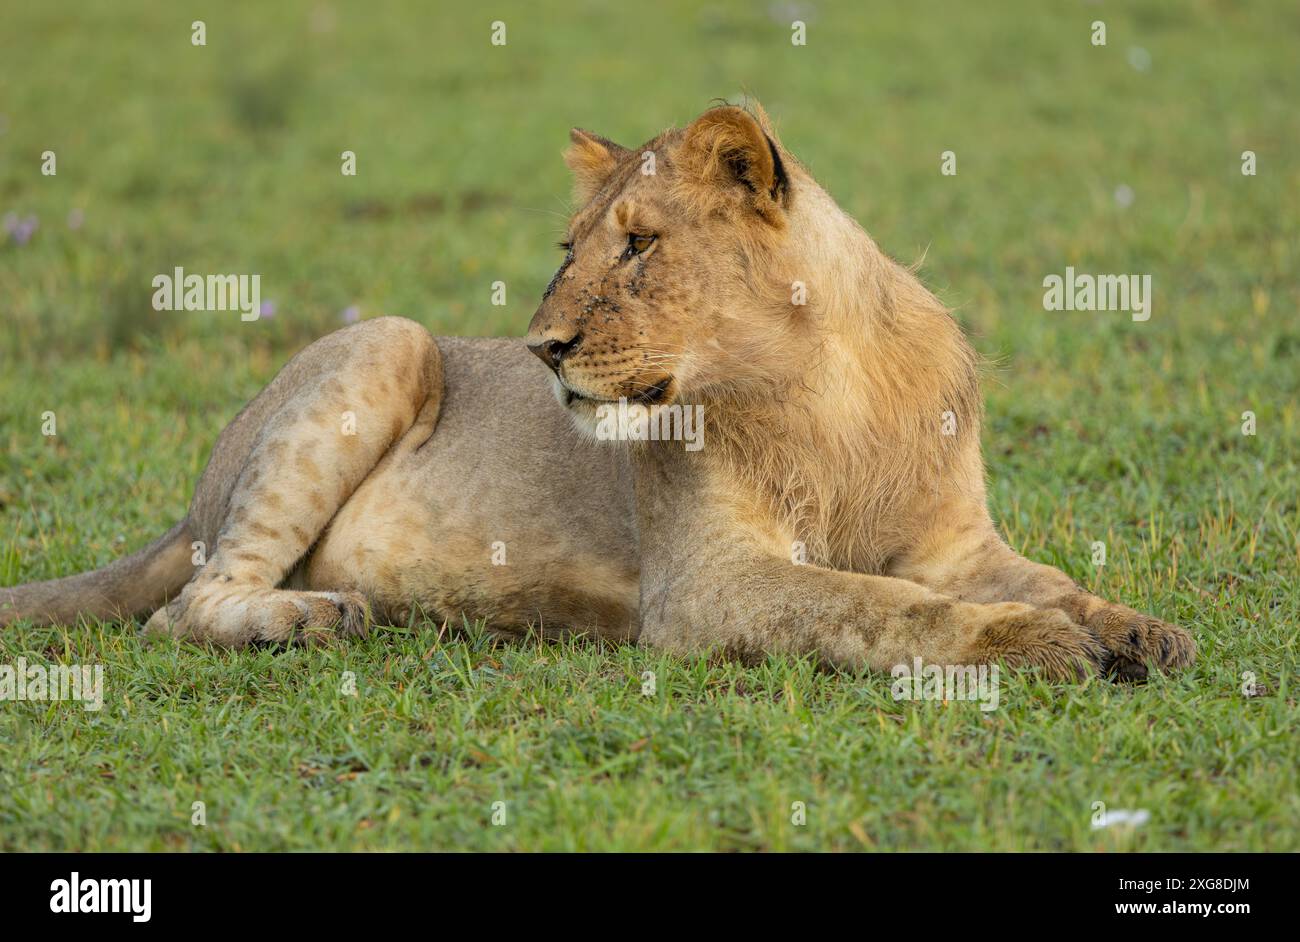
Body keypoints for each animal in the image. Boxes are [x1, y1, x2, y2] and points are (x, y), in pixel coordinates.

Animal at [0, 102, 1194, 681]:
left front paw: (1141, 632)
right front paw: (1032, 647)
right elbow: (877, 607)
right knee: (189, 609)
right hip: (385, 342)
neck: (823, 390)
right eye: (569, 248)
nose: (540, 347)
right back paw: (313, 619)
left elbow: (1049, 580)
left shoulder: (956, 544)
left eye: (638, 246)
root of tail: (191, 499)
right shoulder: (706, 584)